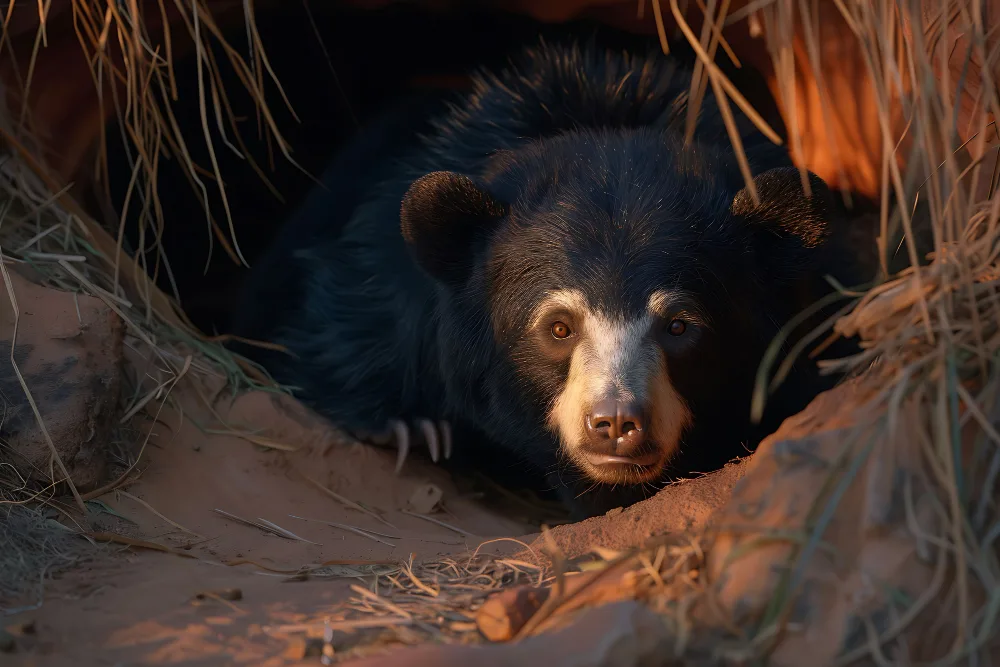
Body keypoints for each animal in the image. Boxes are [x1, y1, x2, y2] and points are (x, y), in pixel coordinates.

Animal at [230, 38, 865, 519]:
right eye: (559, 327)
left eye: (680, 325)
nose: (615, 423)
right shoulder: (382, 270)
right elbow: (347, 323)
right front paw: (412, 427)